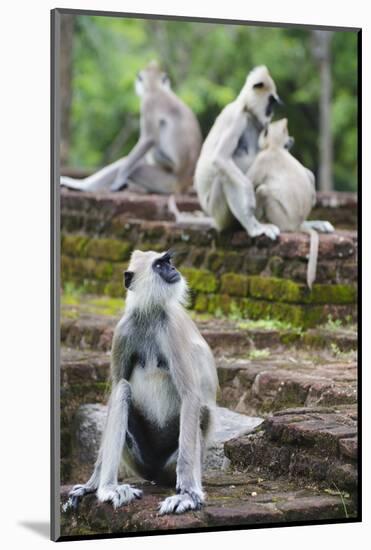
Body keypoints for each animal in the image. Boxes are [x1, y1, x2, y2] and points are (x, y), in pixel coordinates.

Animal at [60, 62, 203, 196]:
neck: (156, 89)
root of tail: (183, 185)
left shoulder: (148, 103)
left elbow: (148, 139)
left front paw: (119, 179)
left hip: (166, 182)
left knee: (139, 167)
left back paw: (82, 186)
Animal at [68, 251, 218, 516]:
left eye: (168, 261)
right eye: (160, 265)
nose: (174, 269)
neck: (149, 313)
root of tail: (155, 474)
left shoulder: (171, 328)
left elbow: (190, 396)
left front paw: (188, 493)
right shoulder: (123, 329)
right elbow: (115, 390)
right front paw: (90, 484)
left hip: (170, 463)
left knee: (202, 411)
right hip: (137, 459)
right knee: (122, 389)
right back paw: (108, 488)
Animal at [195, 66, 282, 240]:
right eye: (271, 101)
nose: (271, 113)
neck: (246, 109)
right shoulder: (237, 117)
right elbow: (220, 159)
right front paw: (248, 195)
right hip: (218, 212)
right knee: (224, 176)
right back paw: (254, 228)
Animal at [248, 117, 336, 288]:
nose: (292, 140)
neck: (276, 148)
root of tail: (297, 224)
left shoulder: (262, 158)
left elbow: (248, 183)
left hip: (281, 218)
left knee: (263, 190)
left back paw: (263, 222)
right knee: (309, 174)